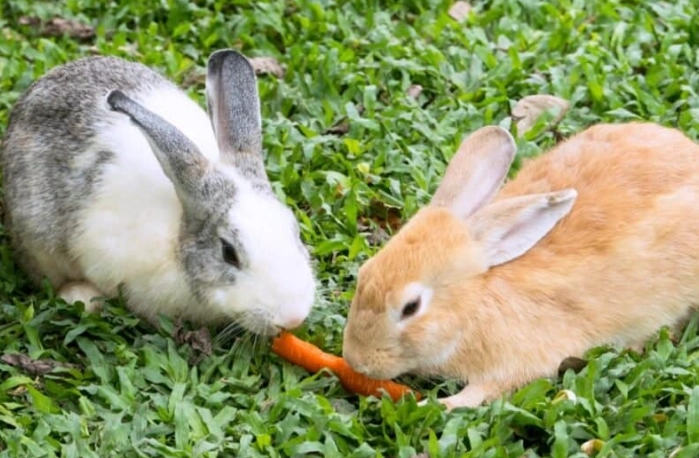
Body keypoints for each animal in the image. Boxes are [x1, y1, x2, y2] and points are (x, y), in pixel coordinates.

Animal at [341, 122, 699, 410]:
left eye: (411, 307)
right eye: (364, 274)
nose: (357, 361)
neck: (473, 301)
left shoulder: (514, 364)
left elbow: (482, 392)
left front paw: (440, 405)